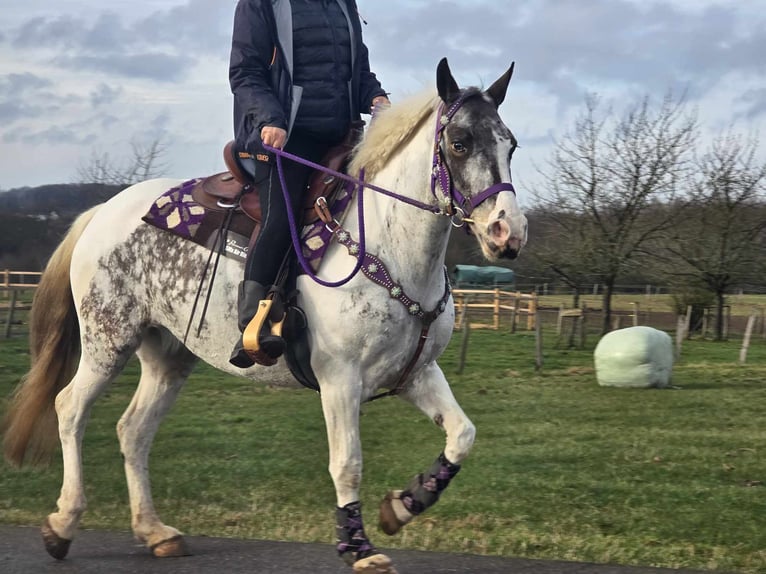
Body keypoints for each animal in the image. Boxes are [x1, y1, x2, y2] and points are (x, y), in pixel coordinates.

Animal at [1, 59, 528, 574]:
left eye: (511, 144)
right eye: (459, 143)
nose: (508, 232)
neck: (386, 244)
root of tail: (104, 211)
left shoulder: (417, 372)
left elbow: (462, 435)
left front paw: (402, 506)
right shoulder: (340, 380)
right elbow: (347, 463)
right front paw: (357, 546)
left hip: (166, 356)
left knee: (133, 430)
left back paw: (155, 532)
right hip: (107, 341)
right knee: (70, 409)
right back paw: (63, 523)